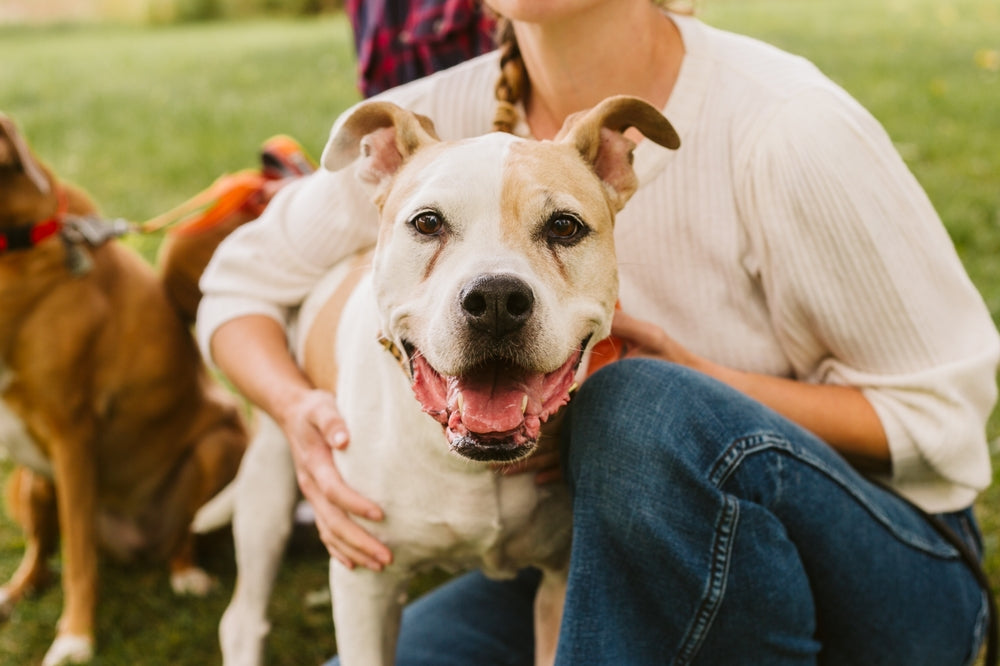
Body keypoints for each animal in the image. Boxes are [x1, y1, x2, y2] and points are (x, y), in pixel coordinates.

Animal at [0, 115, 248, 664]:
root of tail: (131, 546)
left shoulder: (72, 431)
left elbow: (78, 564)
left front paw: (75, 638)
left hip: (220, 442)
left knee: (176, 538)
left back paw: (186, 574)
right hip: (32, 480)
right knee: (40, 553)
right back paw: (12, 592)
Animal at [219, 94, 680, 664]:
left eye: (564, 227)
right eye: (427, 223)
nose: (497, 300)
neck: (469, 464)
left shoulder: (561, 581)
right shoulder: (364, 584)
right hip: (269, 476)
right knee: (242, 617)